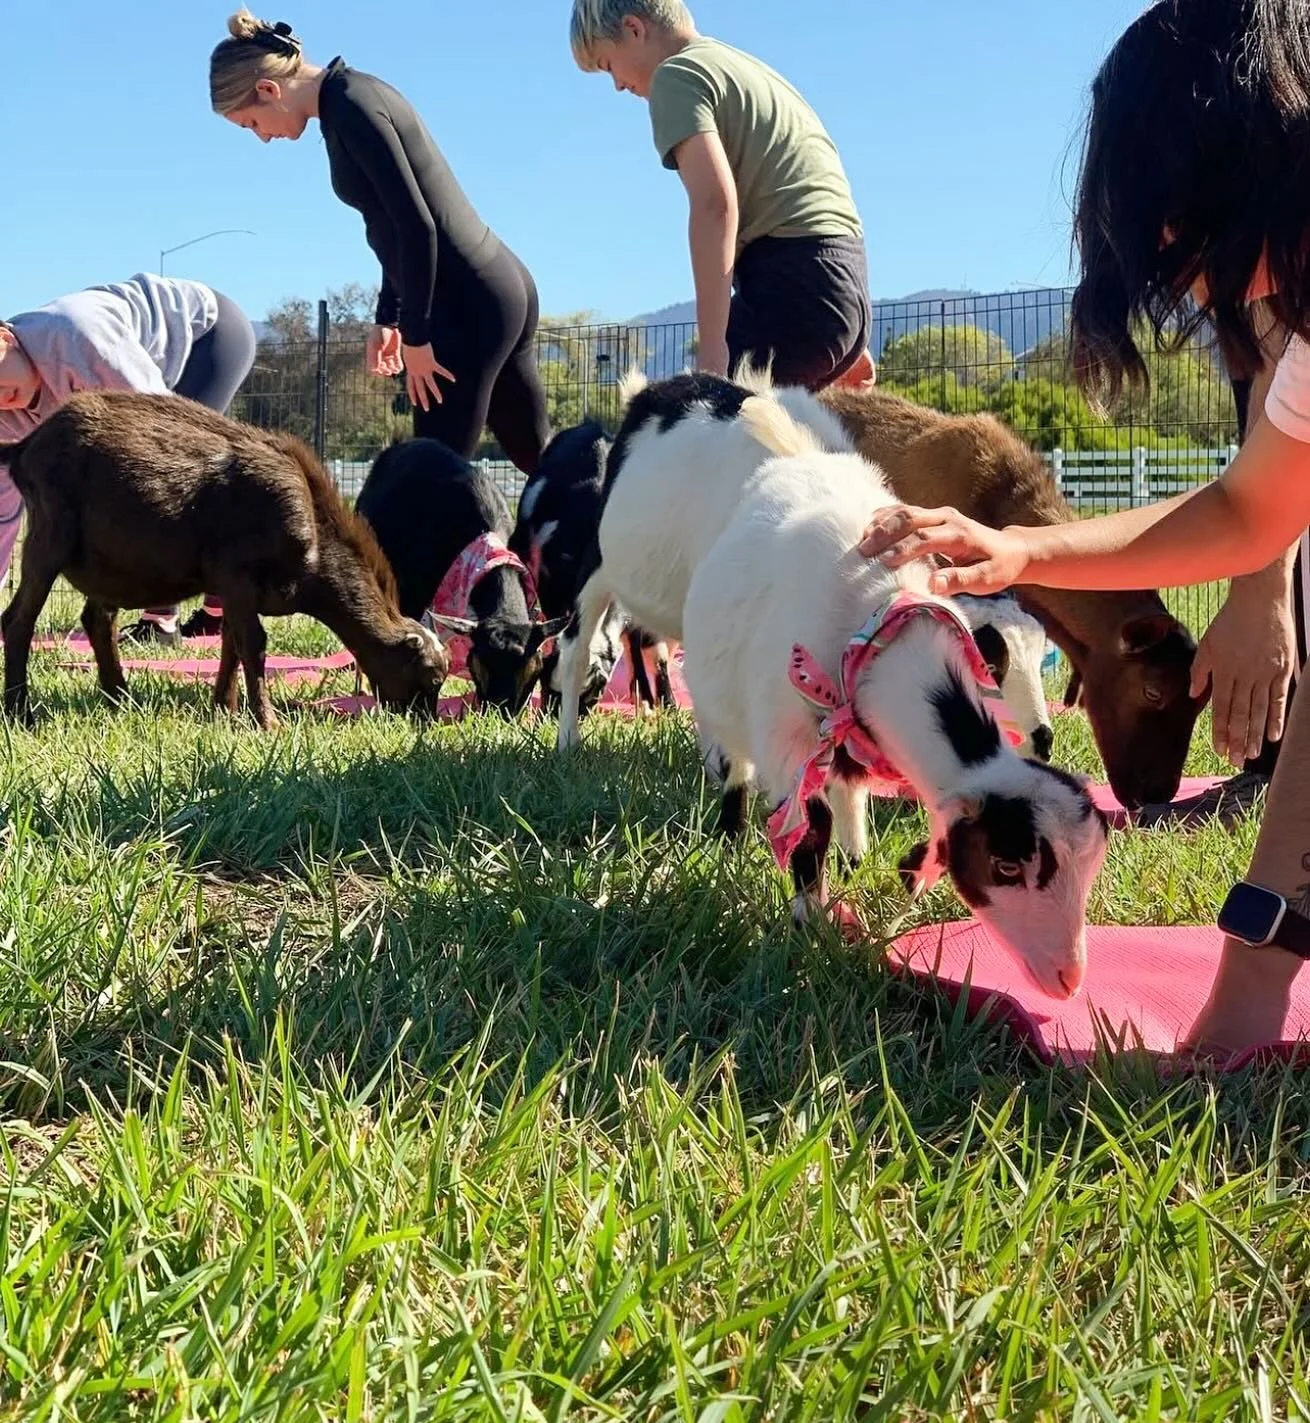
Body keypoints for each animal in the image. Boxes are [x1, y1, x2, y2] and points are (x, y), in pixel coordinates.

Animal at [0, 392, 448, 728]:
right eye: (429, 678)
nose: (424, 723)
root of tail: (26, 447)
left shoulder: (235, 590)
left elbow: (231, 643)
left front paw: (224, 710)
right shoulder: (236, 575)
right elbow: (253, 644)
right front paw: (266, 721)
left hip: (108, 562)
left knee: (97, 619)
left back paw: (120, 697)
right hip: (50, 533)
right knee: (19, 620)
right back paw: (21, 712)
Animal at [511, 421, 675, 715]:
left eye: (589, 695)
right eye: (548, 685)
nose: (550, 717)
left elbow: (651, 650)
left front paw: (656, 705)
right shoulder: (551, 588)